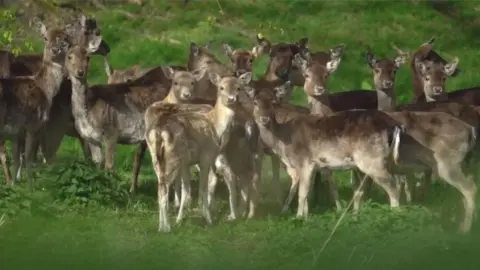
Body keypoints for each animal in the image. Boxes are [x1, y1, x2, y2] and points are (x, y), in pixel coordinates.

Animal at [0, 18, 76, 186]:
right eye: (45, 38)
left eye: (64, 39)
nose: (54, 50)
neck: (45, 89)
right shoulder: (33, 124)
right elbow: (28, 158)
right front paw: (30, 185)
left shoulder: (17, 132)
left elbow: (17, 159)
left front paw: (14, 184)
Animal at [144, 71, 251, 232]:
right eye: (221, 87)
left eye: (238, 88)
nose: (231, 99)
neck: (215, 125)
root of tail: (159, 132)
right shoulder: (206, 155)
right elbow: (203, 188)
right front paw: (209, 220)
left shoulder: (186, 163)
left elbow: (186, 191)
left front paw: (180, 220)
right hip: (172, 157)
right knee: (164, 188)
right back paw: (166, 228)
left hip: (156, 157)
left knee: (160, 187)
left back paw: (162, 226)